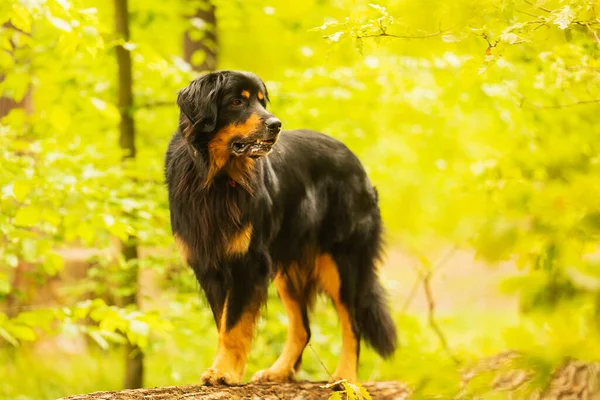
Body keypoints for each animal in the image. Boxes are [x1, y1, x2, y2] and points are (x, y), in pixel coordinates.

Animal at [165, 70, 398, 386]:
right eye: (237, 101)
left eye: (261, 102)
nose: (276, 125)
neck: (216, 179)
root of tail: (356, 163)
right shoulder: (208, 265)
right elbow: (224, 323)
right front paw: (224, 368)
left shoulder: (248, 262)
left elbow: (234, 326)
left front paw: (225, 372)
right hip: (288, 269)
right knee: (303, 328)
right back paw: (279, 371)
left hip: (342, 261)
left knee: (353, 322)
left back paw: (347, 377)